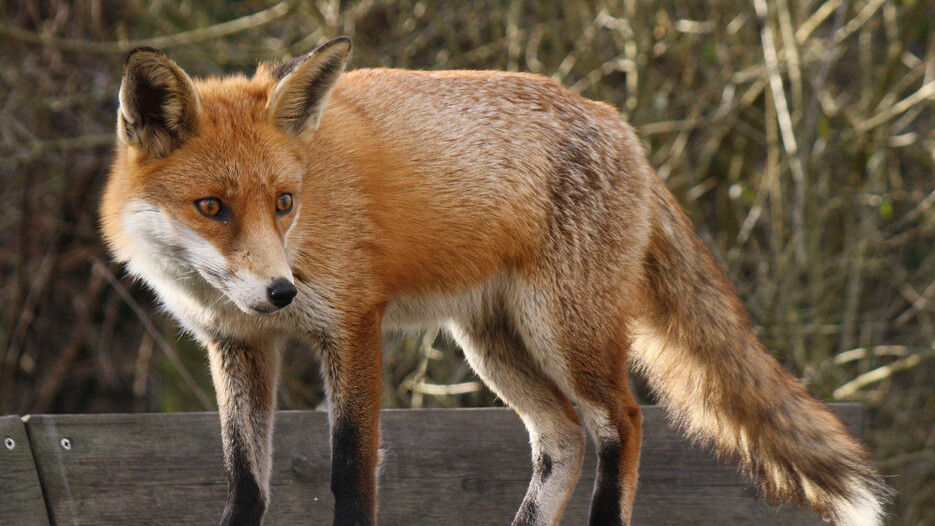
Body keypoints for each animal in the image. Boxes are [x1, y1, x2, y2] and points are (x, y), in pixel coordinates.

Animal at [98, 38, 888, 526]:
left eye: (284, 202)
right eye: (212, 208)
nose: (280, 292)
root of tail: (623, 128)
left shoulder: (351, 324)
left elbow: (351, 472)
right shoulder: (238, 344)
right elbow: (244, 481)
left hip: (563, 331)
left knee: (622, 424)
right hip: (493, 343)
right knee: (562, 439)